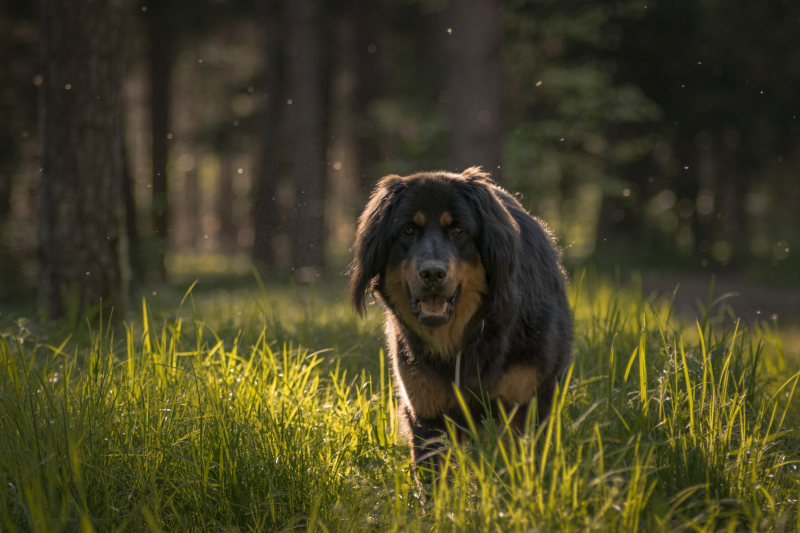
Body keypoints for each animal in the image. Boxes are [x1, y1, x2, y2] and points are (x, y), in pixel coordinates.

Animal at [348, 167, 568, 474]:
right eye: (408, 231)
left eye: (458, 230)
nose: (432, 273)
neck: (466, 339)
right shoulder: (426, 412)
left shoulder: (523, 406)